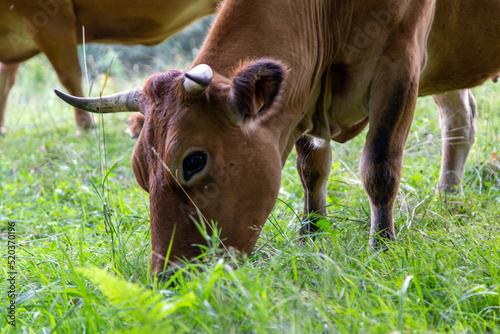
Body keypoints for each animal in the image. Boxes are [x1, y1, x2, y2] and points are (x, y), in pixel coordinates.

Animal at [54, 0, 500, 274]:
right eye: (139, 173)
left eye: (193, 161)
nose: (170, 278)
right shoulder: (304, 97)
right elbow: (311, 169)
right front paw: (311, 237)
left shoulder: (400, 65)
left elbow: (379, 167)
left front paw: (382, 248)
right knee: (460, 119)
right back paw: (449, 200)